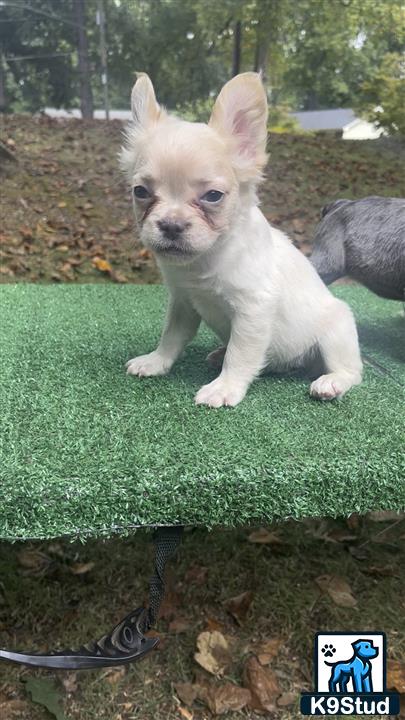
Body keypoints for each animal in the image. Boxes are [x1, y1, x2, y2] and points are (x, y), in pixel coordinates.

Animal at [121, 71, 362, 408]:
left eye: (213, 196)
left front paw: (225, 387)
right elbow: (171, 337)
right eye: (140, 192)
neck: (206, 260)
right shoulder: (183, 302)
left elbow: (241, 354)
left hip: (336, 332)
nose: (171, 224)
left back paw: (332, 382)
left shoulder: (253, 311)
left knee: (352, 370)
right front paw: (156, 361)